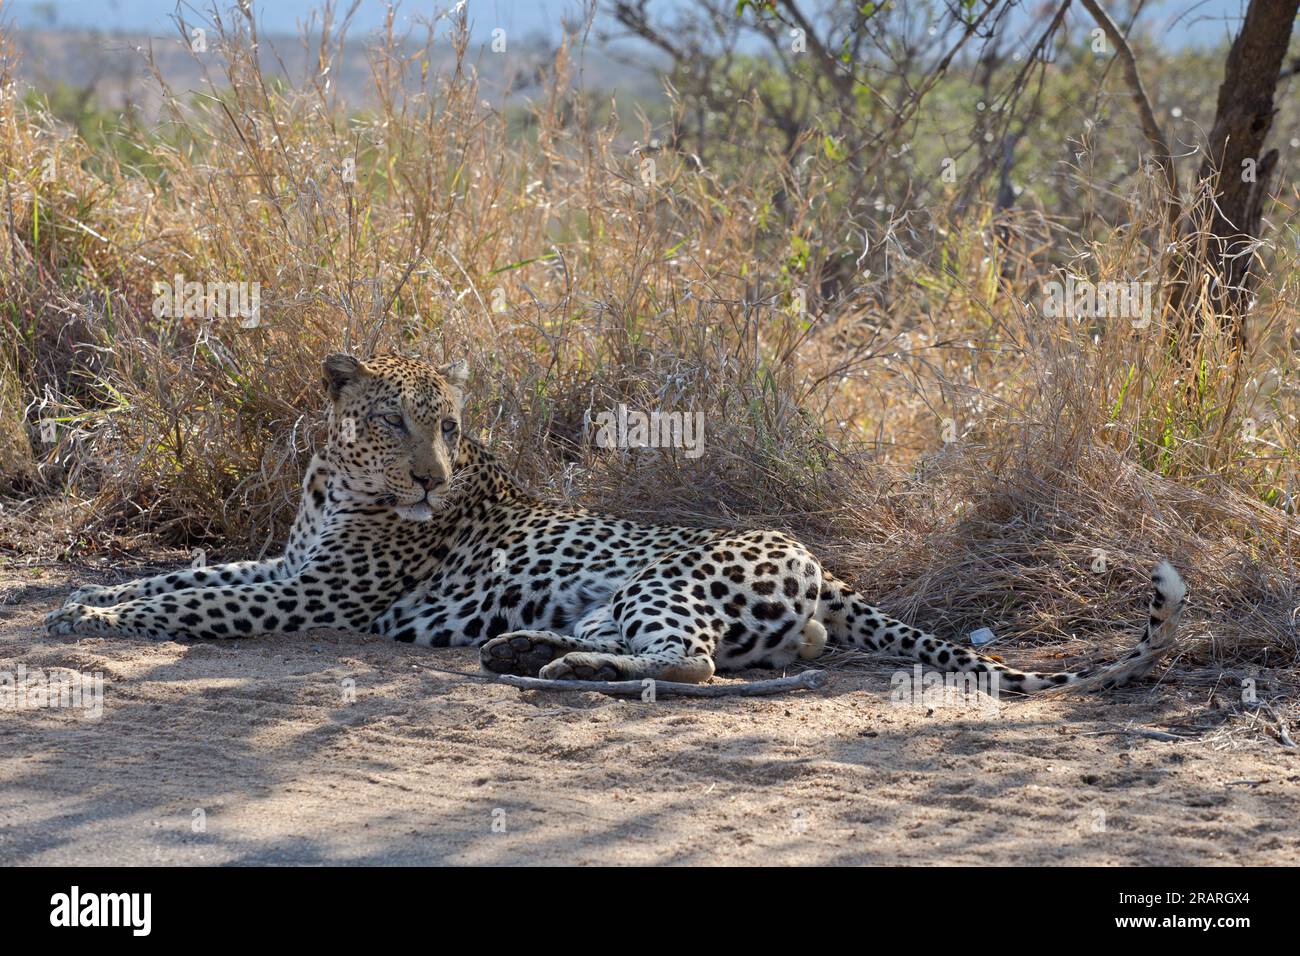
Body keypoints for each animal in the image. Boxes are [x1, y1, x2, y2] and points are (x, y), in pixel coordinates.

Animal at [47, 352, 1187, 693]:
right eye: (392, 420)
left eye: (447, 425)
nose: (429, 478)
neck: (336, 481)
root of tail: (818, 564)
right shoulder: (288, 565)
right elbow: (177, 577)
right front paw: (81, 601)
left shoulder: (309, 593)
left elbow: (192, 597)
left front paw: (90, 621)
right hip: (623, 593)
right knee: (698, 649)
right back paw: (523, 649)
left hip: (665, 580)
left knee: (691, 662)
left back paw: (554, 667)